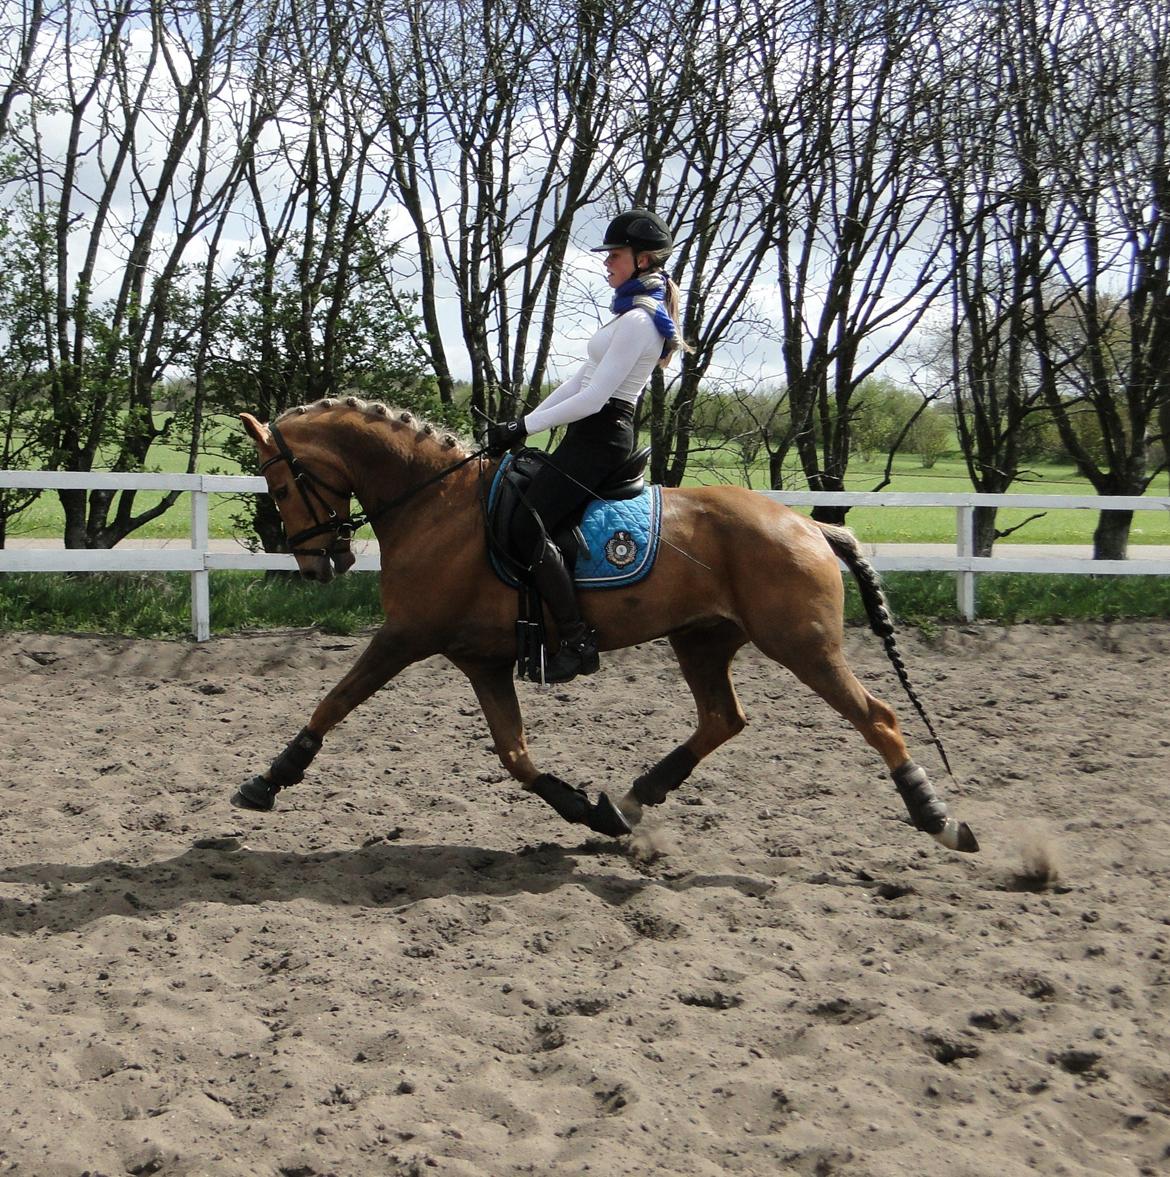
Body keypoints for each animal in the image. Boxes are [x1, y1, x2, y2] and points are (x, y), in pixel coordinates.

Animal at [233, 396, 978, 854]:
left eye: (280, 485)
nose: (320, 564)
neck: (435, 502)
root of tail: (810, 525)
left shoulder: (405, 636)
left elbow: (335, 700)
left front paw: (269, 779)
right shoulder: (481, 660)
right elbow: (515, 756)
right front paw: (586, 810)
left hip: (802, 645)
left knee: (877, 717)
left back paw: (938, 819)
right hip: (701, 638)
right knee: (722, 719)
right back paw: (635, 796)